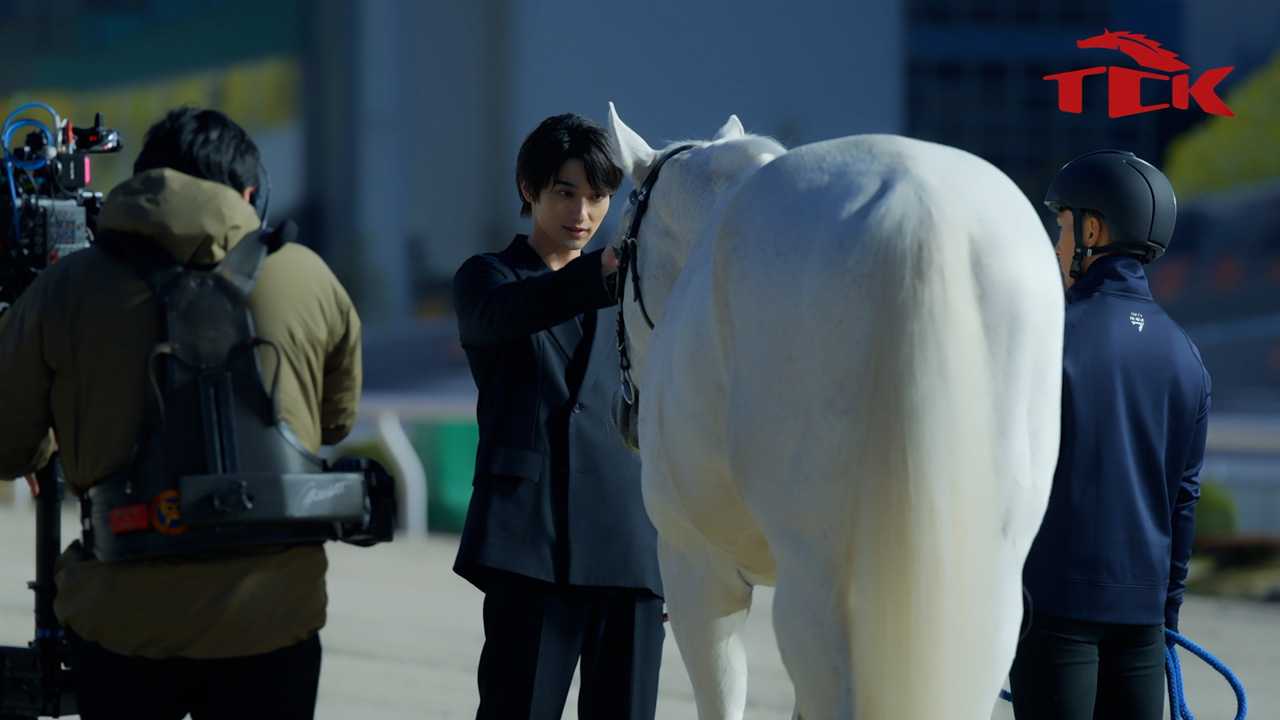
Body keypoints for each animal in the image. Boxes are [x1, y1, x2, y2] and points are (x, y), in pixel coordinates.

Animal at [606, 103, 1065, 719]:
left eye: (616, 265)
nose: (624, 415)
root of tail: (913, 204)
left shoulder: (696, 571)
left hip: (819, 596)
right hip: (982, 599)